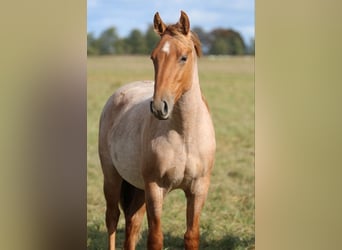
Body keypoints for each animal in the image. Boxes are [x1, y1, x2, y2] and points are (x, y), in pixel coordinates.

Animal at [99, 10, 215, 249]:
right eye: (154, 57)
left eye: (183, 57)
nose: (160, 106)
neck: (185, 136)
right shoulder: (155, 188)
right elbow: (155, 238)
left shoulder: (198, 189)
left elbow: (191, 236)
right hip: (112, 177)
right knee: (112, 218)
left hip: (138, 189)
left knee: (132, 225)